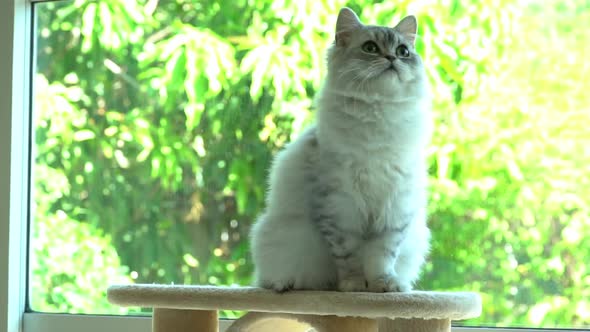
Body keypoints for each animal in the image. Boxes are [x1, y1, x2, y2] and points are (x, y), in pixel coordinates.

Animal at [252, 7, 432, 294]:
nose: (392, 58)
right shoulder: (338, 206)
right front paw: (354, 286)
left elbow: (382, 256)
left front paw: (383, 286)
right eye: (370, 48)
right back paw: (288, 285)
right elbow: (349, 258)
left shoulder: (394, 207)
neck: (377, 115)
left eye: (403, 51)